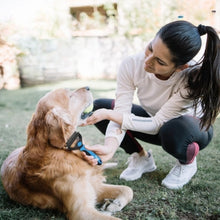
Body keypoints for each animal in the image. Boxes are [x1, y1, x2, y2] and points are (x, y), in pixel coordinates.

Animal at [0, 87, 132, 220]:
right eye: (70, 96)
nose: (88, 87)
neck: (60, 150)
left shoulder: (94, 186)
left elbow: (127, 189)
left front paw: (115, 204)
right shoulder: (81, 211)